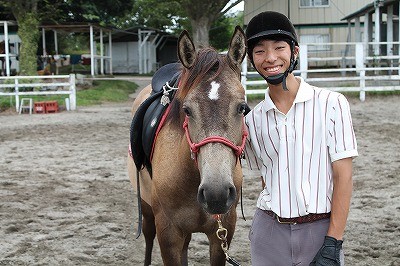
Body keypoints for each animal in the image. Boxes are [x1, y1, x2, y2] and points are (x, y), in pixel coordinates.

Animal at [127, 25, 247, 266]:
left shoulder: (222, 232)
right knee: (147, 238)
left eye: (242, 108)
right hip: (147, 209)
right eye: (187, 109)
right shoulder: (168, 233)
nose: (216, 193)